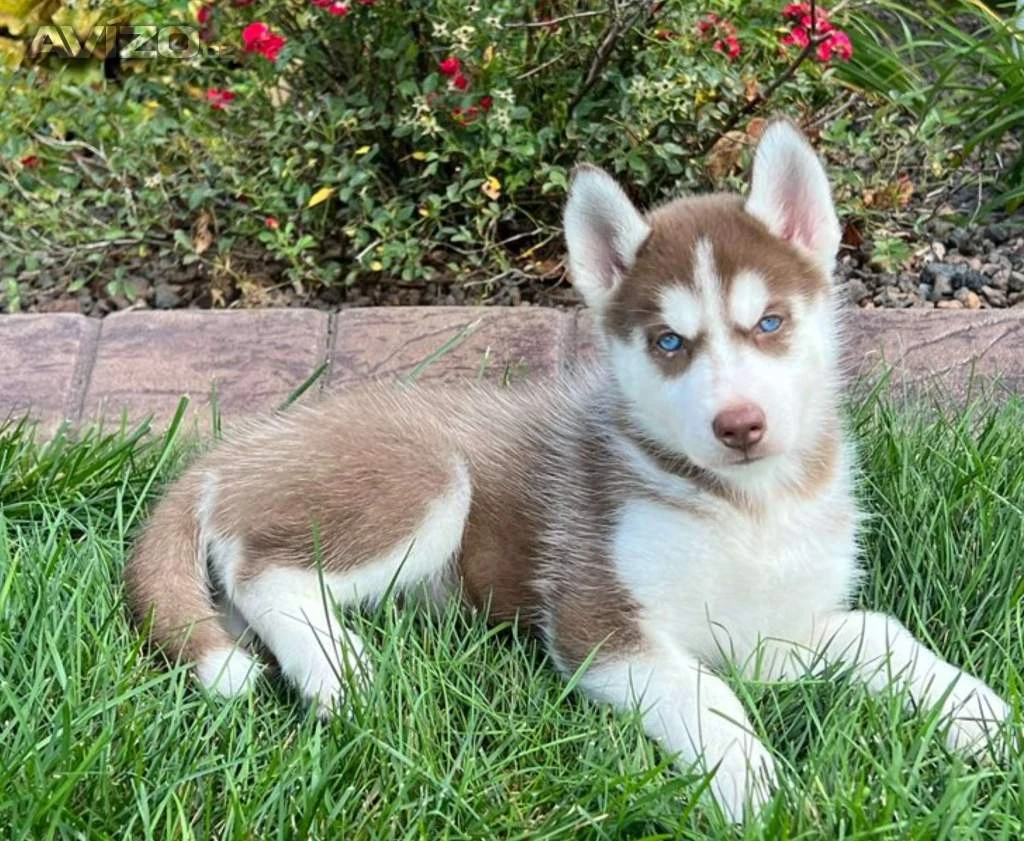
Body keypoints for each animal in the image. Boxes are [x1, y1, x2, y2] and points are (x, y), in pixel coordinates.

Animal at [126, 121, 1012, 821]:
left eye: (769, 323)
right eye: (669, 342)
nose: (739, 425)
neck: (746, 507)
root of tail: (239, 442)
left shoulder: (776, 630)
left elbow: (879, 633)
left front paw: (975, 711)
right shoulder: (601, 626)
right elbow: (705, 694)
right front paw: (756, 785)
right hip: (425, 481)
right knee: (262, 570)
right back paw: (337, 668)